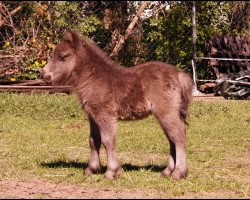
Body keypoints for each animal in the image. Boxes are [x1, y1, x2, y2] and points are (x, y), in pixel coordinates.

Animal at [40, 29, 193, 180]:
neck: (93, 78)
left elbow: (108, 140)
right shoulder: (92, 116)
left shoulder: (105, 114)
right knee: (171, 138)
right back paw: (167, 171)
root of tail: (178, 74)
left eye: (62, 57)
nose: (43, 75)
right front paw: (92, 169)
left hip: (166, 112)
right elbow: (93, 140)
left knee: (178, 135)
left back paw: (179, 172)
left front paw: (111, 171)